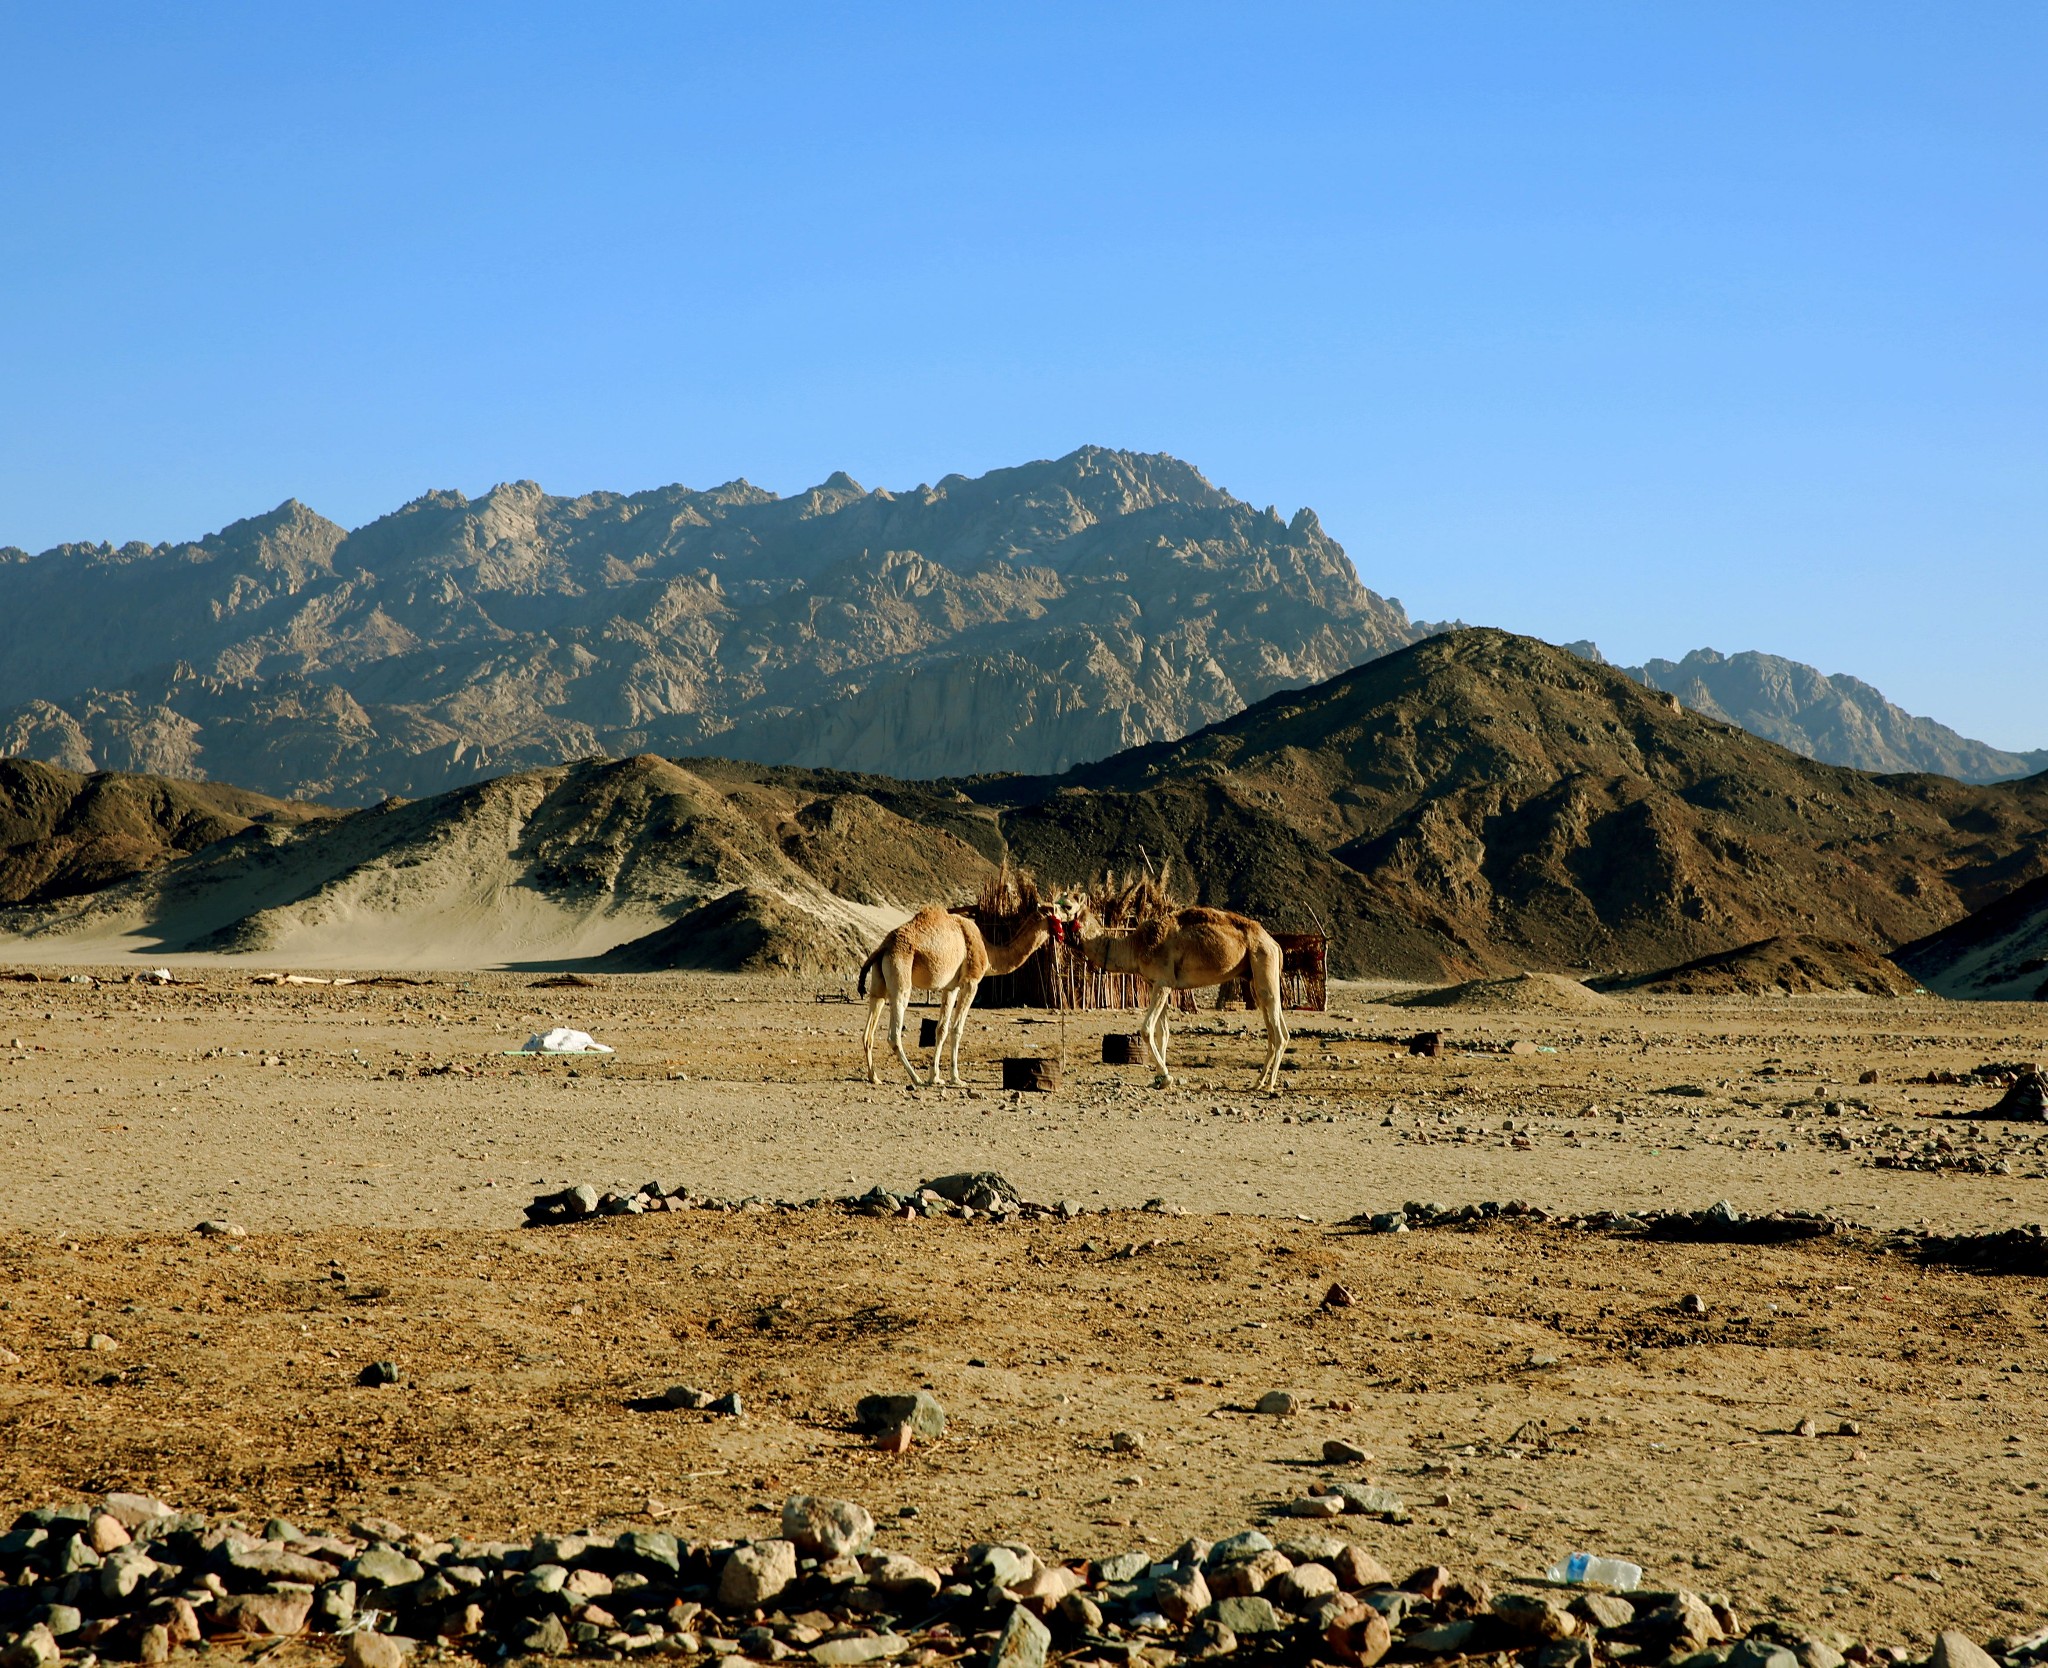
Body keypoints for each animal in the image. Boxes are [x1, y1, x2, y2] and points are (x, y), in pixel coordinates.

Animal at [860, 909, 1056, 1090]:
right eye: (1062, 910)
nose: (1064, 930)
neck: (988, 952)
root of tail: (883, 947)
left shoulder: (950, 987)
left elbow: (941, 1029)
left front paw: (936, 1077)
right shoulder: (971, 982)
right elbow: (957, 1029)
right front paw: (956, 1078)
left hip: (879, 985)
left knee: (869, 1028)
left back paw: (874, 1077)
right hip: (901, 978)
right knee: (894, 1034)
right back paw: (916, 1078)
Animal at [1048, 901, 1286, 1098]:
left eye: (1068, 905)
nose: (1047, 910)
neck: (1135, 946)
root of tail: (1274, 943)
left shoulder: (1163, 982)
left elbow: (1146, 1029)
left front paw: (1166, 1076)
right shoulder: (1157, 983)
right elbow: (1162, 1032)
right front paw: (1159, 1080)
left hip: (1263, 962)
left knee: (1279, 1031)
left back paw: (1269, 1085)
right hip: (1254, 975)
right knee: (1273, 1025)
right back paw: (1258, 1082)